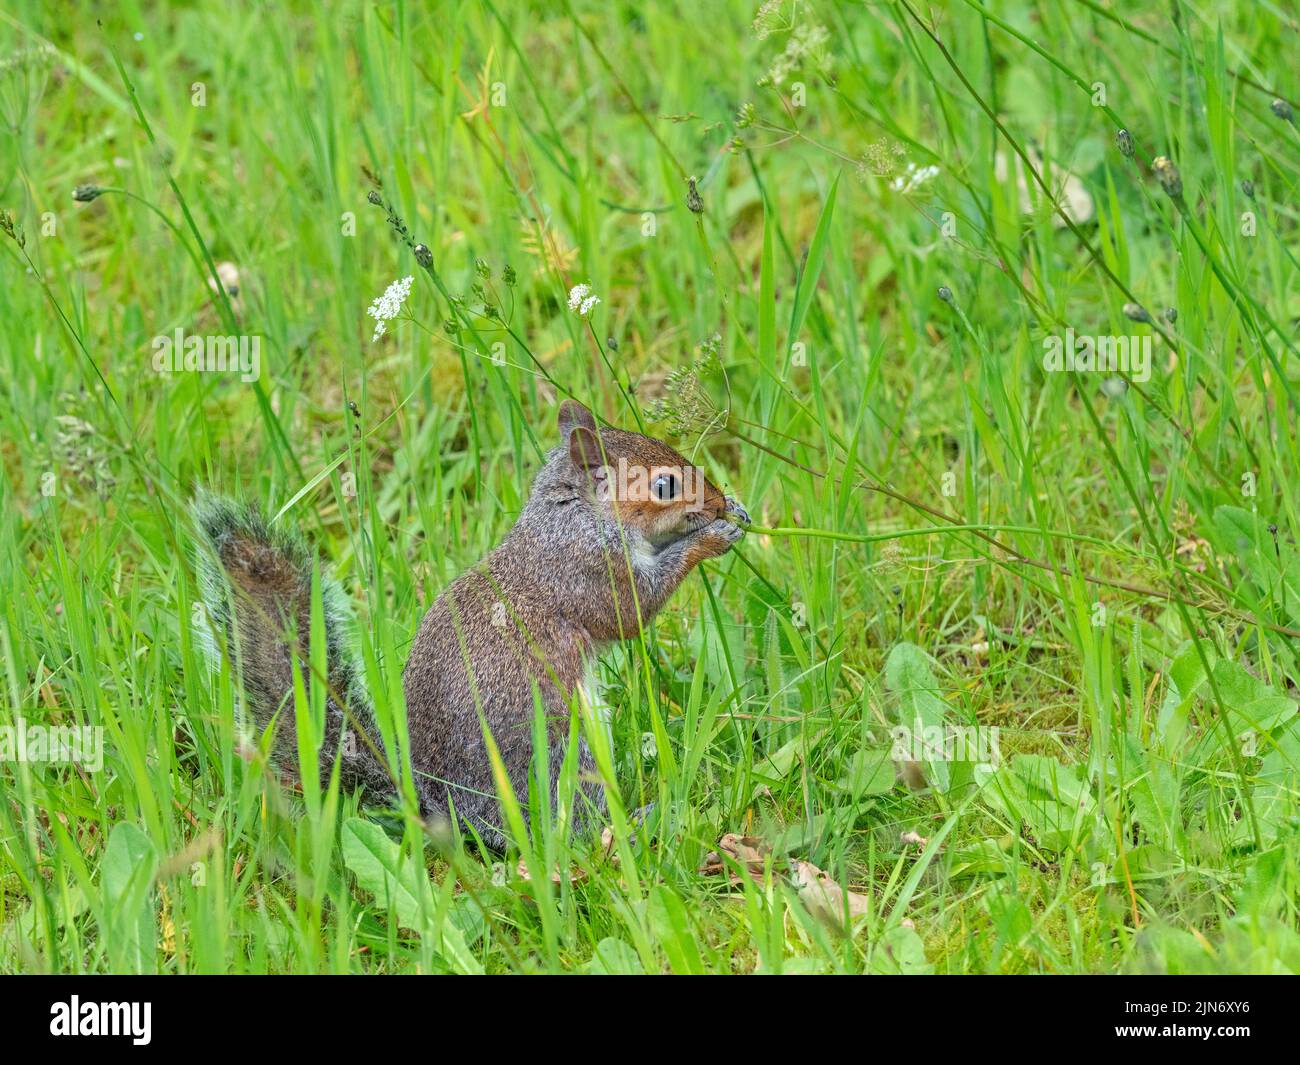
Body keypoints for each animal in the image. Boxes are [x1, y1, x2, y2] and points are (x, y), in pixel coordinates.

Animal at [194, 400, 748, 850]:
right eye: (664, 486)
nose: (719, 502)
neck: (572, 519)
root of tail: (442, 811)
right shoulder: (586, 570)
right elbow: (632, 610)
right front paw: (711, 538)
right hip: (561, 750)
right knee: (569, 828)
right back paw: (632, 824)